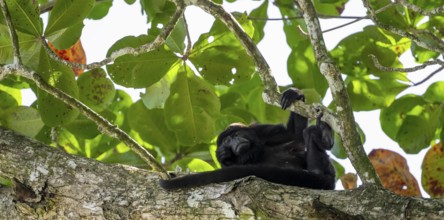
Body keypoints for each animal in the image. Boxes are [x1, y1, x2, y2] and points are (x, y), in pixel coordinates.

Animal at [160, 88, 336, 190]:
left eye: (237, 136)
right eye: (227, 142)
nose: (235, 142)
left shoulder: (261, 132)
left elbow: (294, 134)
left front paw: (295, 95)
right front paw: (225, 155)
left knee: (309, 134)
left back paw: (324, 139)